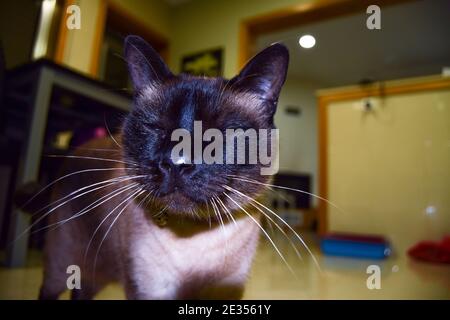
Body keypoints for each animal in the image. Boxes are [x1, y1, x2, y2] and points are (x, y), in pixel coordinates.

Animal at [37, 35, 288, 300]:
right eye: (155, 128)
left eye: (218, 134)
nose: (176, 162)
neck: (194, 239)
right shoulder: (151, 290)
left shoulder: (227, 291)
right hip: (61, 268)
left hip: (95, 276)